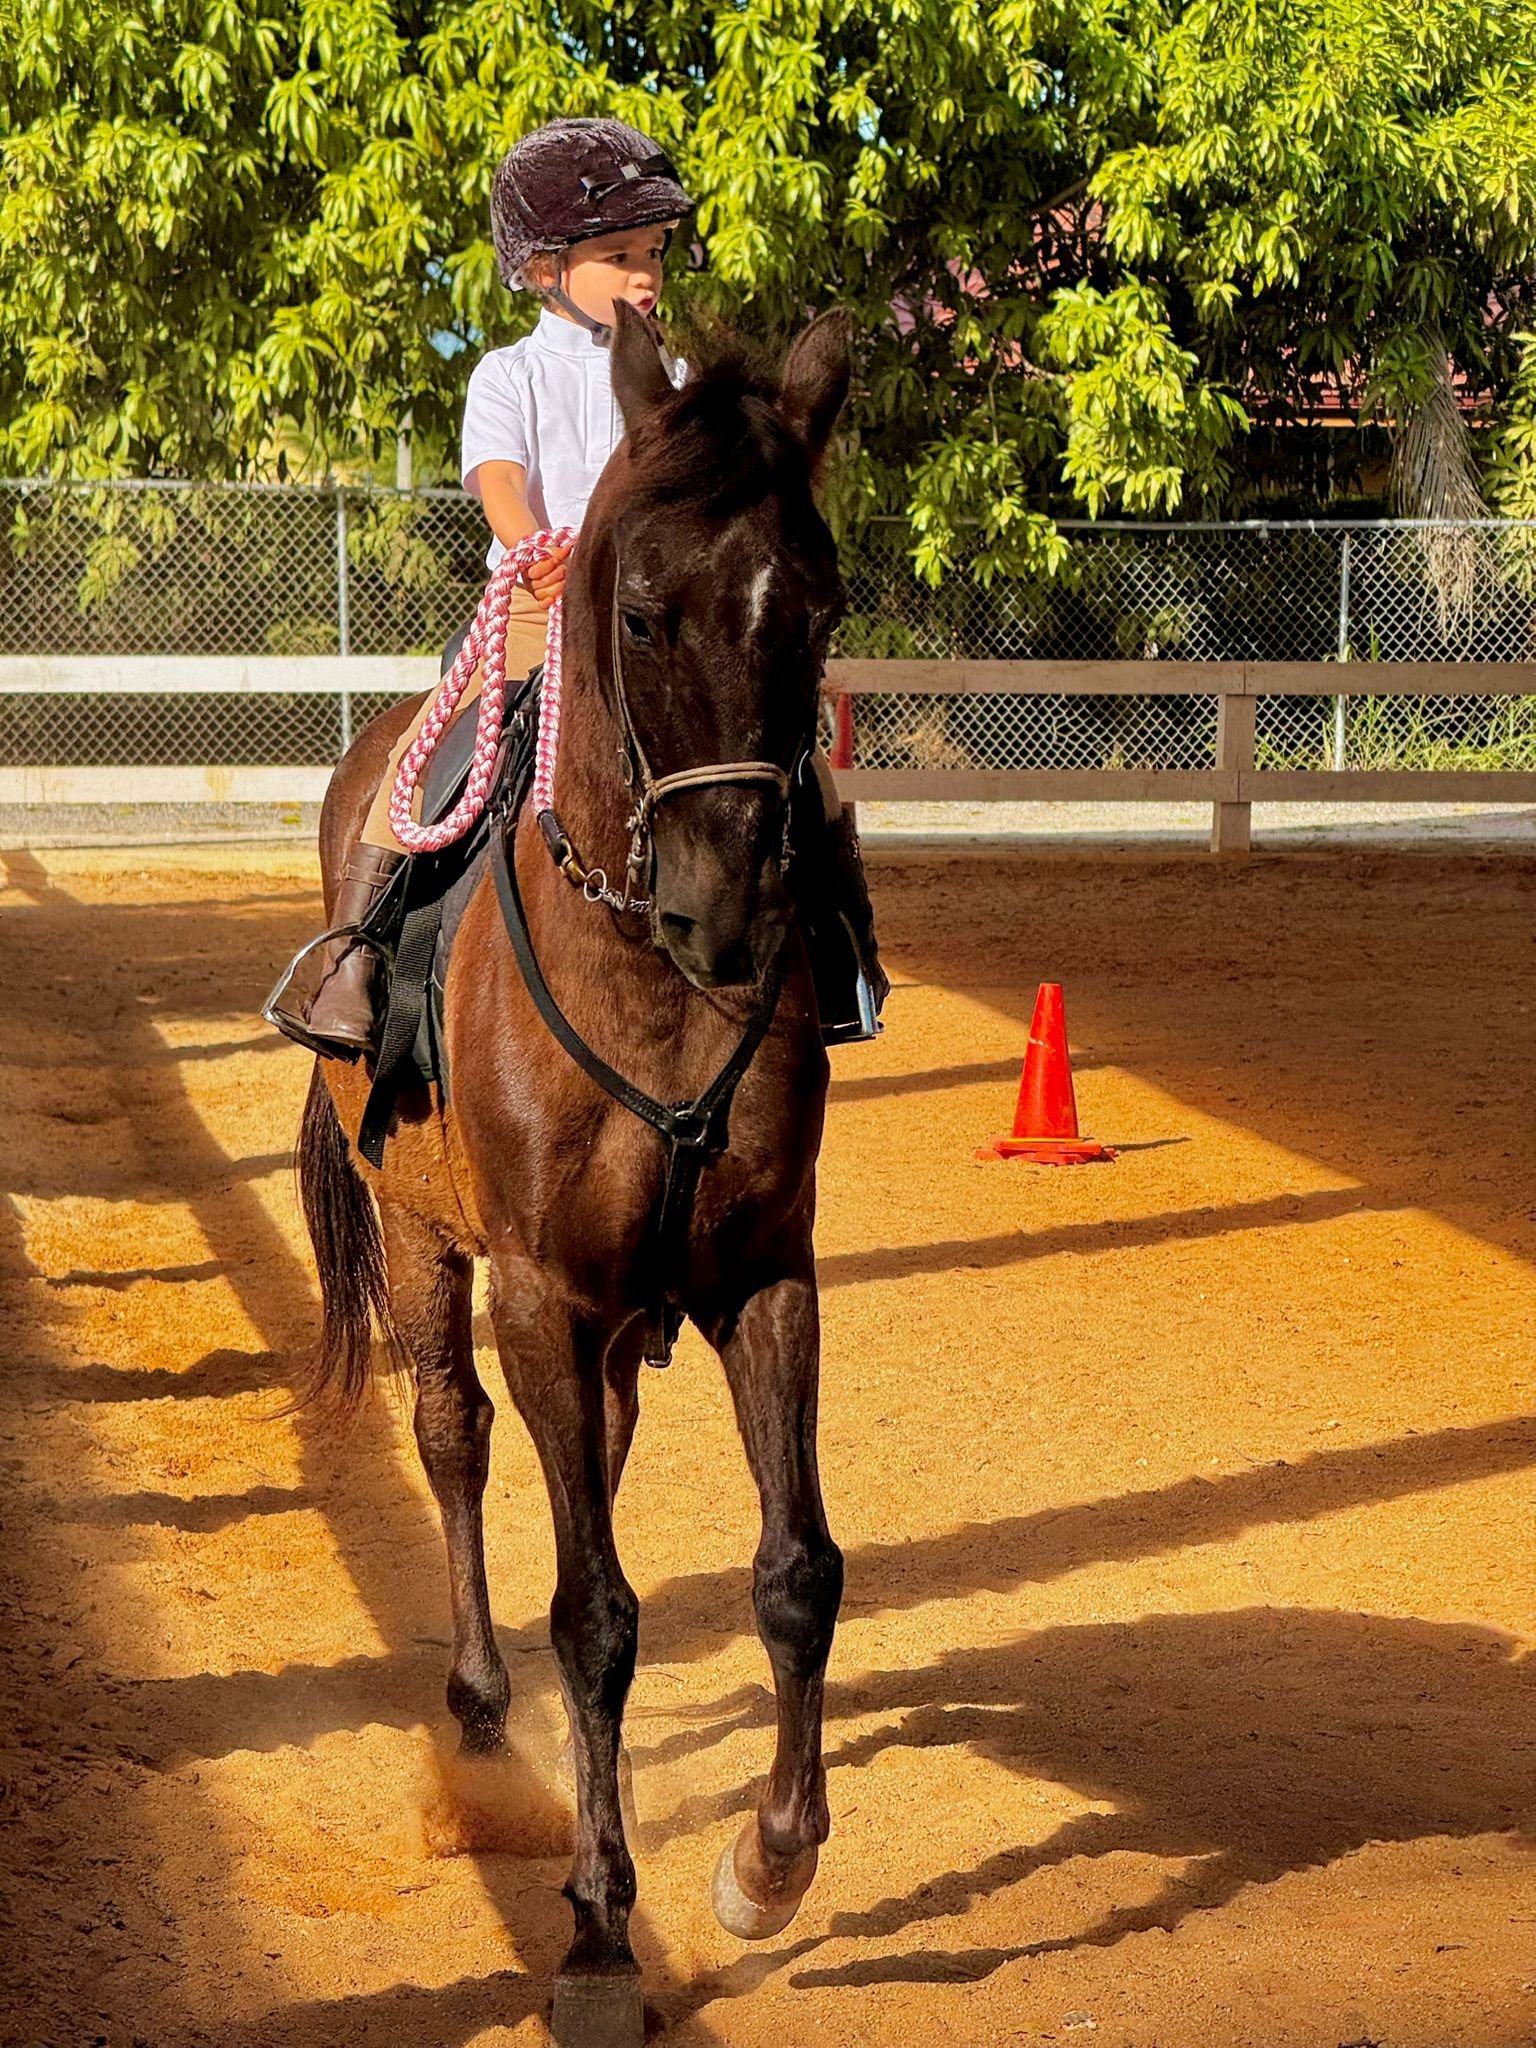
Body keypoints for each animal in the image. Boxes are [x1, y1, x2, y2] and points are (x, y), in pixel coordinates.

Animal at [294, 303, 852, 2045]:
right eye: (644, 609)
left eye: (822, 608)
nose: (728, 906)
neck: (650, 988)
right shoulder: (537, 1291)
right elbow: (594, 1616)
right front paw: (605, 1927)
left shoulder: (764, 1280)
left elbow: (796, 1572)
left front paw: (769, 1860)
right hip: (428, 1249)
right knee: (459, 1446)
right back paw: (482, 1705)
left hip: (618, 1326)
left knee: (588, 1465)